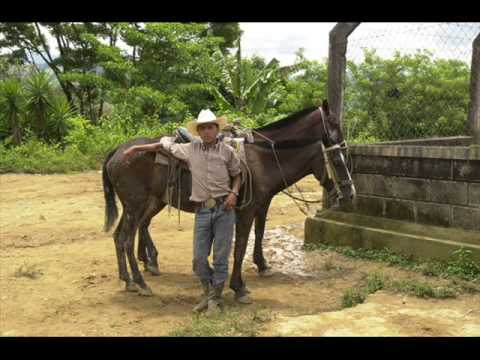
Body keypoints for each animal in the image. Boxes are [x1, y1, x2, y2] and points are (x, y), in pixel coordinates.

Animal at [102, 100, 356, 298]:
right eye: (336, 160)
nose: (349, 194)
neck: (263, 158)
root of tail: (118, 151)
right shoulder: (246, 210)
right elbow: (241, 245)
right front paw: (238, 286)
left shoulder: (261, 204)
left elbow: (259, 234)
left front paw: (262, 265)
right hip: (137, 204)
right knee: (126, 238)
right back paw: (141, 281)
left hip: (140, 204)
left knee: (120, 235)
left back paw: (130, 278)